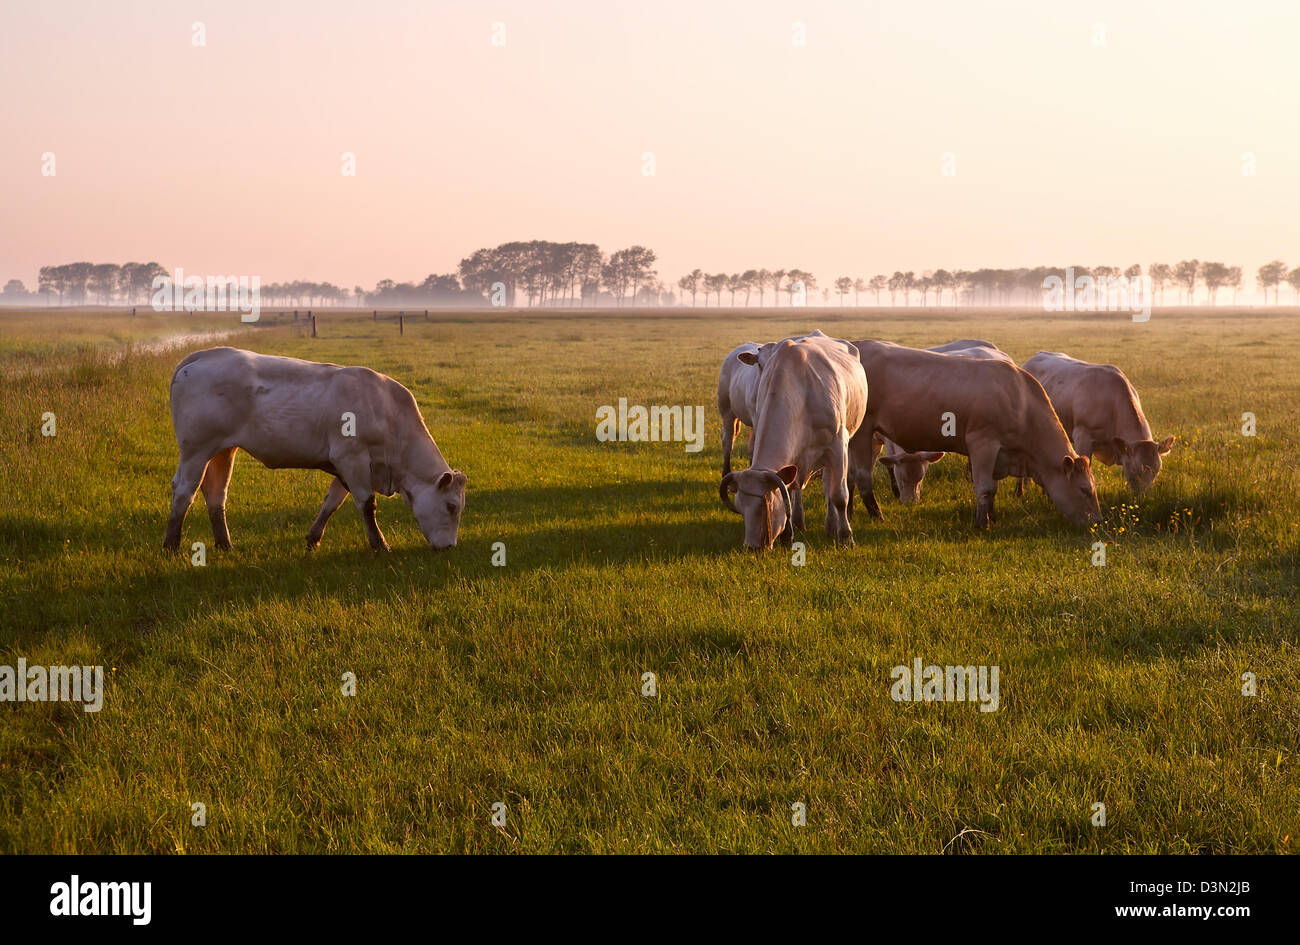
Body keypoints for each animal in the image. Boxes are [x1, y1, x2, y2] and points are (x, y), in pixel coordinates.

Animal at [163, 347, 466, 553]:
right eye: (451, 506)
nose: (450, 547)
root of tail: (204, 356)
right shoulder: (352, 458)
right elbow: (367, 504)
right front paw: (380, 545)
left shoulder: (347, 464)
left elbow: (332, 502)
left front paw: (313, 538)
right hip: (195, 450)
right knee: (184, 490)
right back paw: (171, 545)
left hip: (223, 451)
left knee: (216, 493)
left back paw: (225, 544)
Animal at [719, 333, 867, 550]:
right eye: (740, 507)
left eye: (764, 504)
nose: (751, 547)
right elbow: (788, 490)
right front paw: (788, 533)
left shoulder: (838, 446)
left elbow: (839, 495)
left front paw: (846, 537)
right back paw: (800, 520)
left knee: (829, 484)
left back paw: (832, 524)